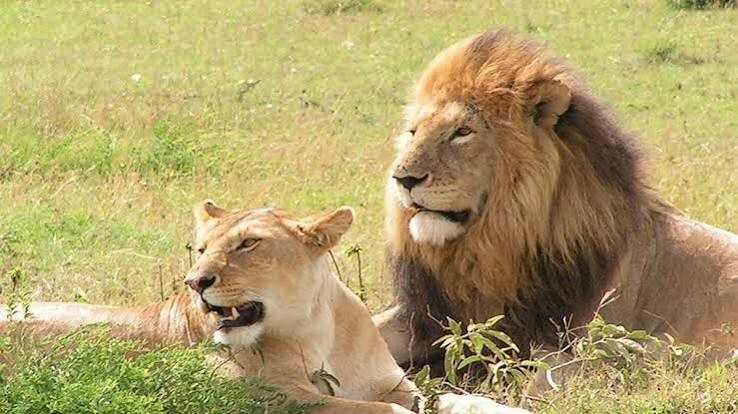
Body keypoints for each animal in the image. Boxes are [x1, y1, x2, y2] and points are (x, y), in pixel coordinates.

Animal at [2, 202, 419, 414]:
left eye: (248, 244)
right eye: (202, 249)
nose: (195, 282)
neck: (315, 328)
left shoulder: (393, 382)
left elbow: (426, 399)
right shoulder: (266, 395)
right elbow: (380, 409)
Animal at [373, 30, 738, 370]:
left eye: (462, 132)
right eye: (413, 132)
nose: (402, 179)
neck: (490, 247)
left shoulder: (571, 338)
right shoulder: (425, 316)